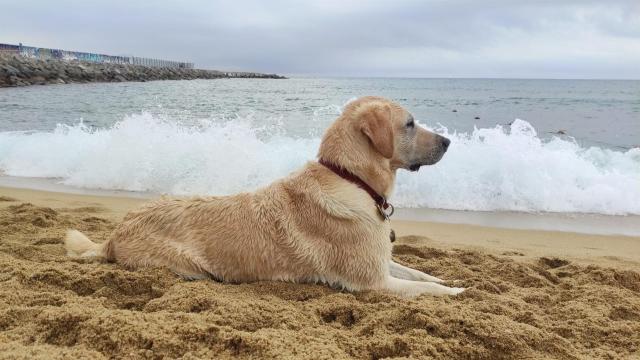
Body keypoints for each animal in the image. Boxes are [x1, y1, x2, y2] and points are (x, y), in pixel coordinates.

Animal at [66, 95, 464, 298]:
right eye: (409, 124)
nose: (449, 142)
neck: (350, 178)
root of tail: (114, 234)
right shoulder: (373, 281)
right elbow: (429, 293)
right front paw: (459, 293)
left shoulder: (381, 260)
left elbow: (420, 273)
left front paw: (445, 279)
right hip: (188, 267)